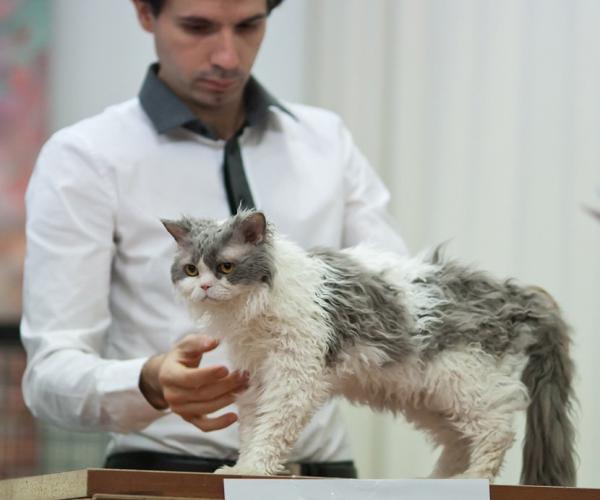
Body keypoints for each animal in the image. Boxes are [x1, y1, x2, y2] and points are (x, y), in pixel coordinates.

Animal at [161, 210, 576, 484]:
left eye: (226, 268)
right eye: (191, 270)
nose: (204, 287)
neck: (256, 308)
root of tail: (519, 294)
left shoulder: (295, 376)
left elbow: (272, 428)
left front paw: (254, 469)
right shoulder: (256, 380)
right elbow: (251, 429)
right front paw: (241, 466)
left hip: (465, 379)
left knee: (496, 431)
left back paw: (472, 479)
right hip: (431, 396)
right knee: (458, 441)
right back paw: (437, 481)